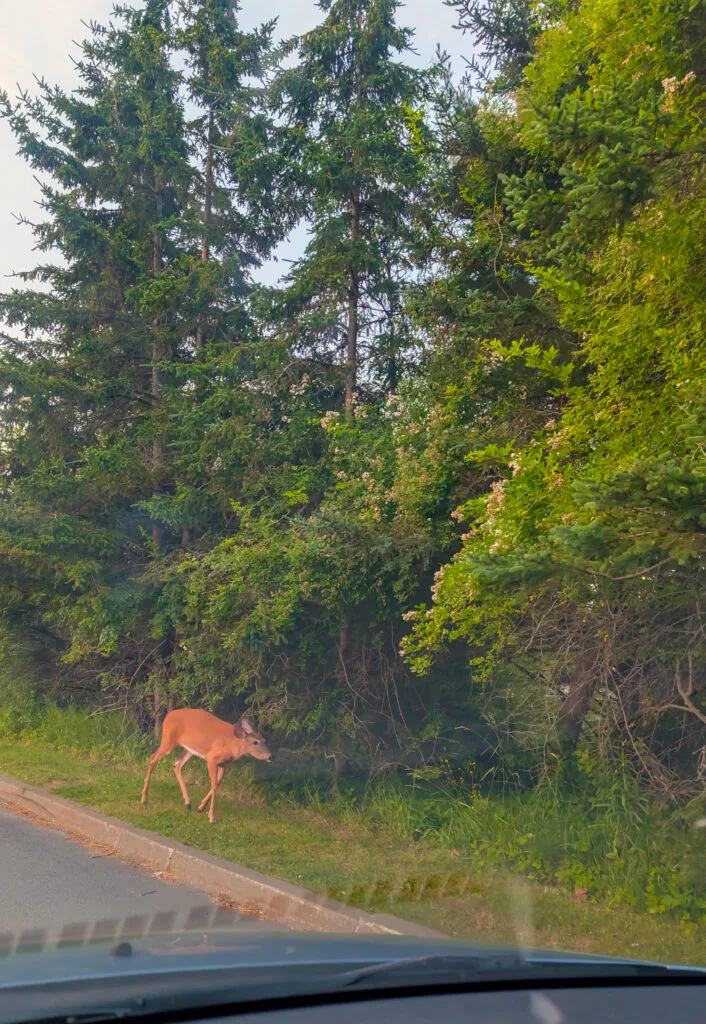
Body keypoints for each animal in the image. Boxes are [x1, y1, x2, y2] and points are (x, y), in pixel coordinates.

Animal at [140, 708, 272, 824]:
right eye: (255, 742)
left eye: (264, 740)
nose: (270, 756)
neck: (232, 746)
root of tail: (168, 715)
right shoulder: (212, 759)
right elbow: (214, 784)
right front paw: (211, 817)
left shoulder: (223, 764)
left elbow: (218, 782)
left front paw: (201, 807)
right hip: (168, 739)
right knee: (153, 758)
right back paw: (144, 798)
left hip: (190, 749)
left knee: (176, 764)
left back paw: (187, 803)